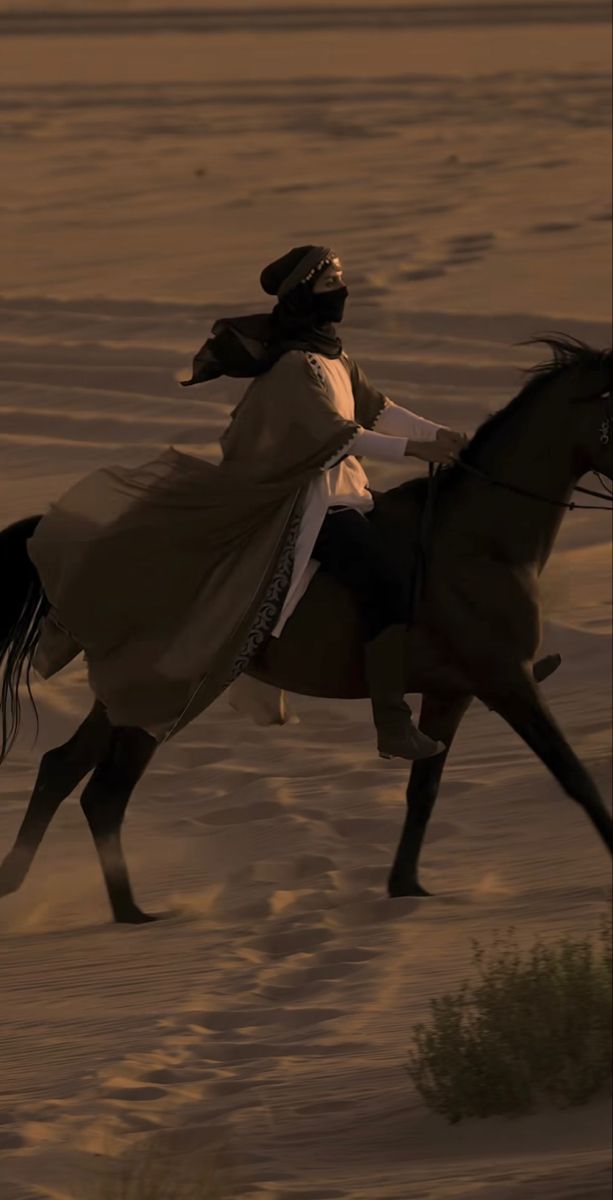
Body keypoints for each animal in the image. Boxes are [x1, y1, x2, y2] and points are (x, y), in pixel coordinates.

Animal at [0, 333, 611, 921]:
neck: (481, 542)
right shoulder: (507, 680)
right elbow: (574, 775)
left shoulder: (452, 693)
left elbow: (425, 790)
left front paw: (405, 887)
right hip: (156, 694)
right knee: (104, 791)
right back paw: (133, 916)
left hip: (124, 694)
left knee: (64, 771)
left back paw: (38, 886)